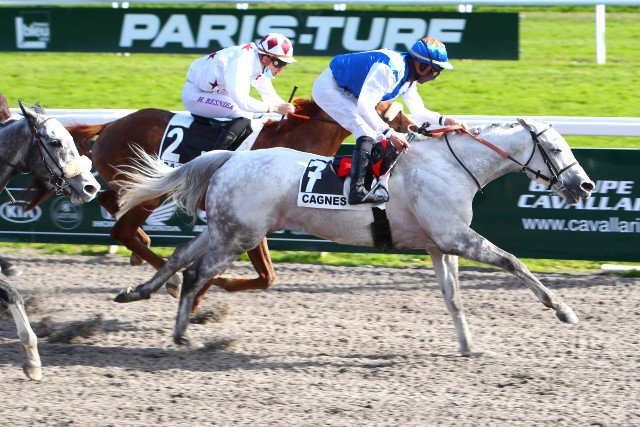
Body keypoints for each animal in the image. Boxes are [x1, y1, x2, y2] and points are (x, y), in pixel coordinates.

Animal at [61, 98, 411, 310]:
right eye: (387, 112)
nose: (412, 129)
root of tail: (110, 125)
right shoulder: (252, 220)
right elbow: (262, 274)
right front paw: (202, 293)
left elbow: (265, 276)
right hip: (147, 189)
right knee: (122, 229)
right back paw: (169, 278)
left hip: (136, 187)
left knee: (114, 208)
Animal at [113, 118, 594, 353]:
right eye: (556, 149)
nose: (586, 186)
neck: (451, 166)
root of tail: (230, 158)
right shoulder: (456, 237)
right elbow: (514, 261)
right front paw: (564, 310)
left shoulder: (440, 244)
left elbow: (454, 298)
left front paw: (468, 345)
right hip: (238, 236)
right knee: (196, 275)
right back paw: (182, 335)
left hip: (224, 229)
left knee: (180, 257)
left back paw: (136, 292)